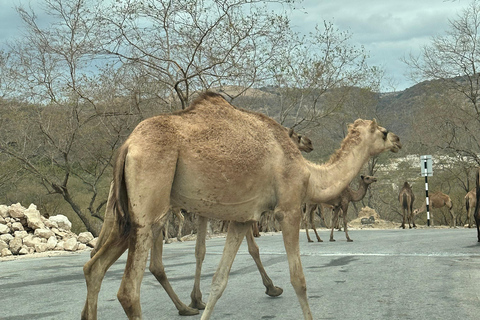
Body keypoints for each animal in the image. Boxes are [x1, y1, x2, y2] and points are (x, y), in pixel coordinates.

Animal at [81, 90, 402, 320]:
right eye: (383, 132)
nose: (398, 139)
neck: (309, 173)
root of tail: (128, 145)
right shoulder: (287, 209)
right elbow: (299, 279)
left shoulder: (241, 219)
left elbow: (219, 281)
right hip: (151, 203)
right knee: (128, 291)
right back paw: (178, 305)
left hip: (127, 215)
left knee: (94, 268)